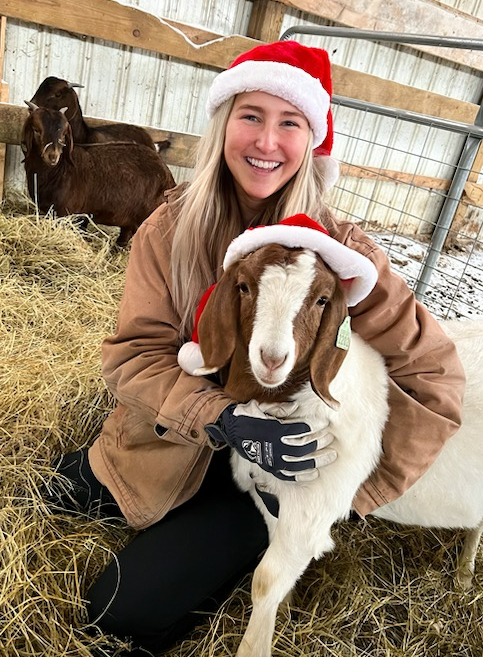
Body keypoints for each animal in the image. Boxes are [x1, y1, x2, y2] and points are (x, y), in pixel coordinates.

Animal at [21, 104, 176, 246]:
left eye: (64, 134)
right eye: (36, 130)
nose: (53, 156)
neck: (59, 170)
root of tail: (169, 177)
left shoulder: (65, 213)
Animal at [192, 243, 482, 657]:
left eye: (322, 299)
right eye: (244, 287)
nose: (272, 358)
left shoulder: (311, 509)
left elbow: (265, 580)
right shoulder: (273, 500)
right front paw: (289, 606)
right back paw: (462, 574)